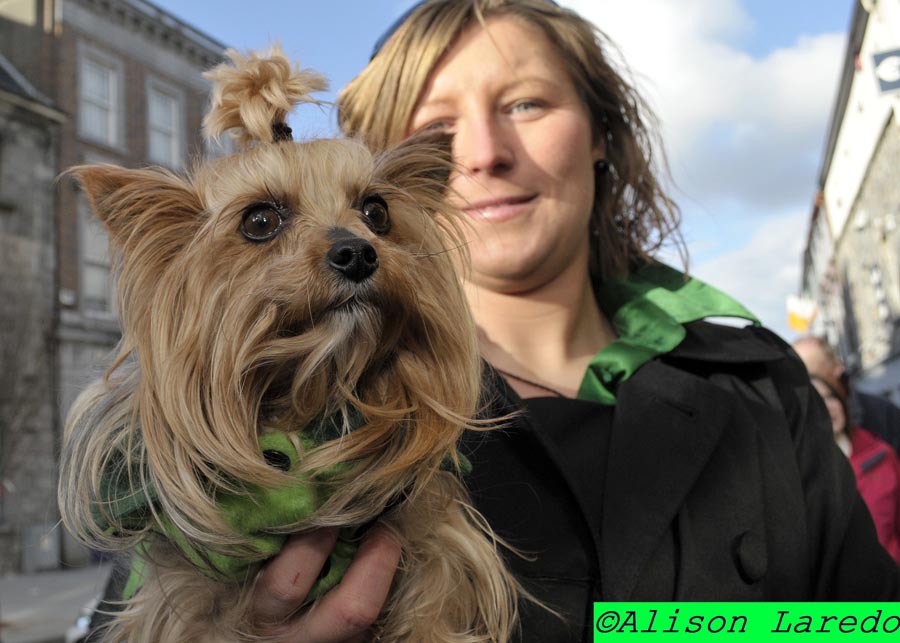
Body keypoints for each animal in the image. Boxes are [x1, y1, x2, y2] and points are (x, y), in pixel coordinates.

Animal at [58, 46, 512, 643]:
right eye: (260, 220)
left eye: (377, 211)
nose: (357, 253)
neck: (310, 394)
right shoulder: (189, 598)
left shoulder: (432, 540)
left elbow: (435, 602)